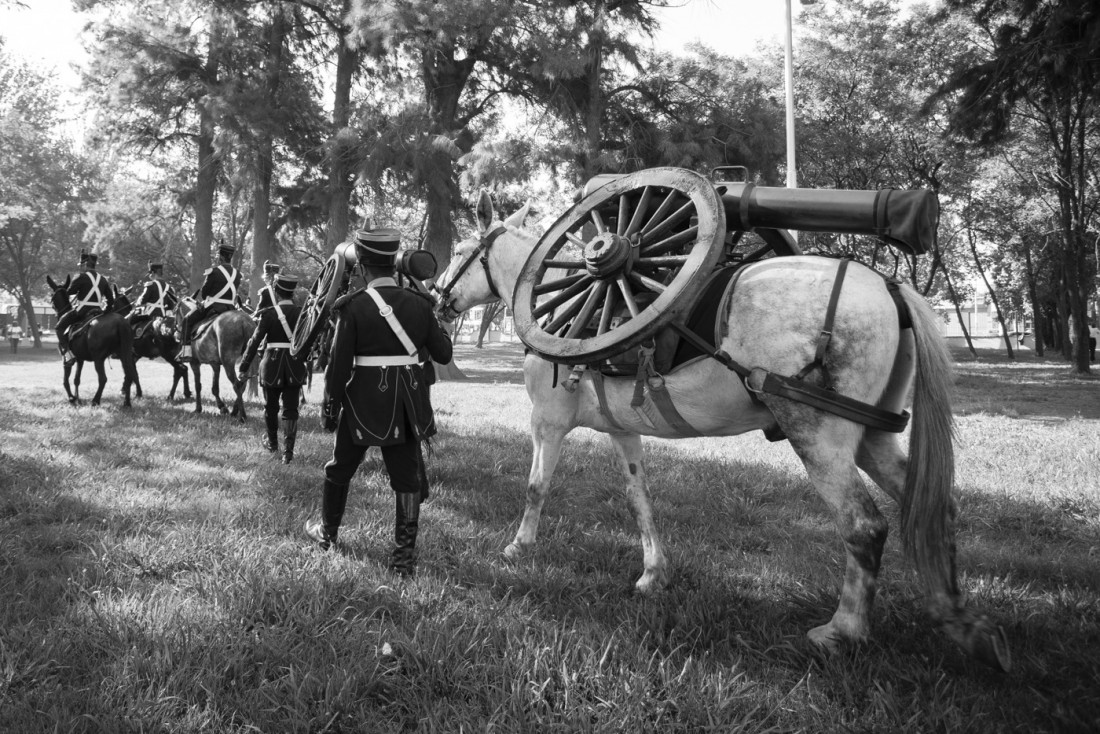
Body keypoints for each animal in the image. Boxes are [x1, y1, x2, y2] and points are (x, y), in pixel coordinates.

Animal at [45, 274, 139, 407]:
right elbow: (76, 379)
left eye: (52, 297)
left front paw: (71, 398)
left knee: (103, 378)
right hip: (124, 355)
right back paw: (127, 403)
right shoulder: (80, 359)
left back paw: (95, 400)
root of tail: (121, 322)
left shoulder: (66, 359)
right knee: (129, 374)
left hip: (99, 359)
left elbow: (66, 380)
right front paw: (77, 398)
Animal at [431, 191, 1012, 673]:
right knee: (933, 506)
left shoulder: (547, 422)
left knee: (864, 527)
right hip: (874, 438)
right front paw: (653, 573)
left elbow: (536, 487)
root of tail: (888, 285)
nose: (437, 296)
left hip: (819, 439)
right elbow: (640, 499)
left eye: (460, 248)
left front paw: (519, 546)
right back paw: (958, 618)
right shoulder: (623, 433)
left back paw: (842, 630)